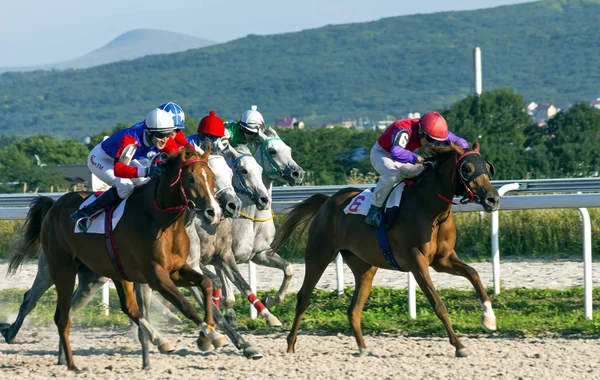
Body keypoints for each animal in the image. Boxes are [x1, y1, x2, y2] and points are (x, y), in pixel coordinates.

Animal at [270, 141, 496, 358]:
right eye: (467, 169)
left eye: (487, 167)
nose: (493, 199)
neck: (431, 210)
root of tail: (328, 201)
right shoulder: (417, 261)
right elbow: (438, 304)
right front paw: (459, 346)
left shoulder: (443, 259)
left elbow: (473, 273)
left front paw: (489, 317)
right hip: (319, 254)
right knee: (304, 298)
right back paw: (290, 346)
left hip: (364, 267)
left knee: (353, 310)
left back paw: (363, 349)